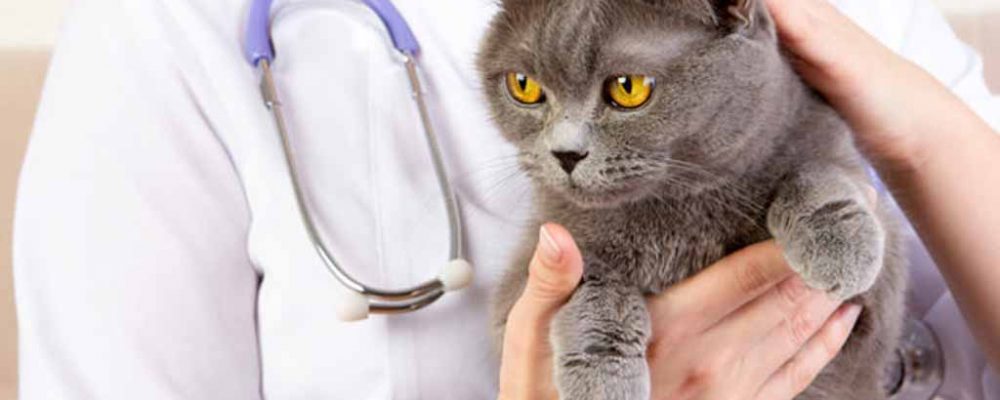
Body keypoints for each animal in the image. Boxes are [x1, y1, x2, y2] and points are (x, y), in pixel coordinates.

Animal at [477, 0, 907, 399]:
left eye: (628, 87)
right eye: (523, 85)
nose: (565, 153)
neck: (677, 213)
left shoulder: (871, 304)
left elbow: (819, 170)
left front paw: (839, 248)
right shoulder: (526, 273)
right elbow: (594, 283)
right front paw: (602, 377)